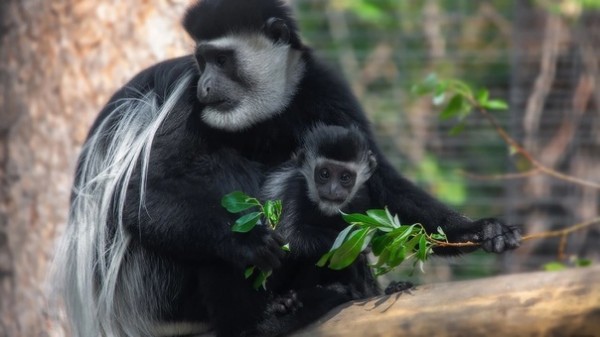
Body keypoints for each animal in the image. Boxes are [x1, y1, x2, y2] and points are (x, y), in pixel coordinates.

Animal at [54, 0, 520, 336]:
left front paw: (481, 229)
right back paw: (268, 317)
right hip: (152, 288)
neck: (265, 113)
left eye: (221, 60)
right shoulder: (185, 103)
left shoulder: (323, 88)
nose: (207, 85)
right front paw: (247, 243)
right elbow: (138, 195)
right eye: (201, 61)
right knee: (217, 179)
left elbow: (381, 181)